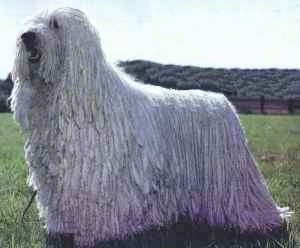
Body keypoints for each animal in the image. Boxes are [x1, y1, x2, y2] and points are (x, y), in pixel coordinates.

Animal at [11, 7, 290, 248]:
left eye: (55, 24)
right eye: (31, 22)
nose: (27, 36)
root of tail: (224, 102)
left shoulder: (96, 178)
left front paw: (93, 236)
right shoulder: (54, 178)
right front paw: (61, 231)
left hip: (233, 177)